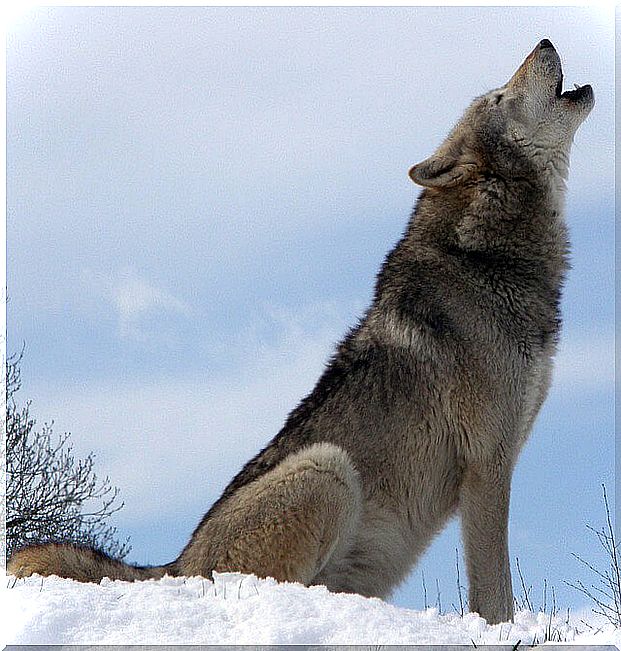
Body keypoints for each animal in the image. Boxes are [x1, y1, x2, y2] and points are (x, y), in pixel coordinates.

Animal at [8, 39, 592, 628]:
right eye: (500, 95)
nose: (544, 42)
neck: (487, 258)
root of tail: (173, 567)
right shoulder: (488, 464)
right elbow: (496, 592)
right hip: (327, 468)